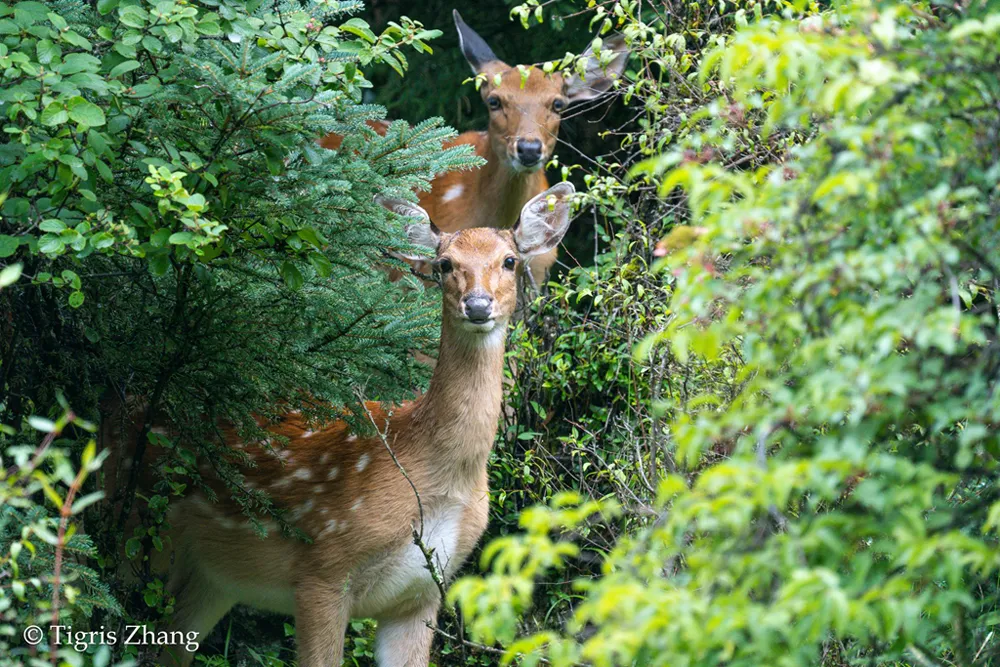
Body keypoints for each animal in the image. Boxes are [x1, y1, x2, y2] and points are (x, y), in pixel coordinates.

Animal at [104, 183, 576, 667]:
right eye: (445, 263)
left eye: (509, 260)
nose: (478, 305)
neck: (439, 478)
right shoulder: (323, 567)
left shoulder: (424, 591)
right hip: (128, 520)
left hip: (213, 576)